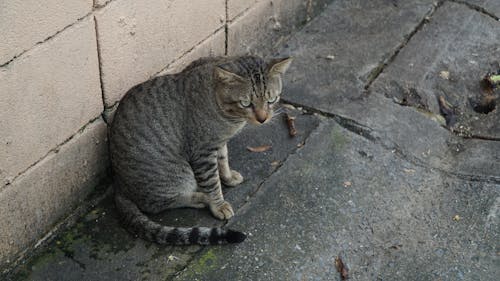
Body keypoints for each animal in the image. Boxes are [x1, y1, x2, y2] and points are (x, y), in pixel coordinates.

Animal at [107, 54, 292, 243]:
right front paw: (218, 204)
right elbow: (212, 182)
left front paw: (228, 177)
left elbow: (223, 160)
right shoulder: (203, 152)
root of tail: (118, 185)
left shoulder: (218, 142)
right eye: (246, 103)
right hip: (176, 176)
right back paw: (203, 198)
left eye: (271, 100)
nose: (263, 119)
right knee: (161, 203)